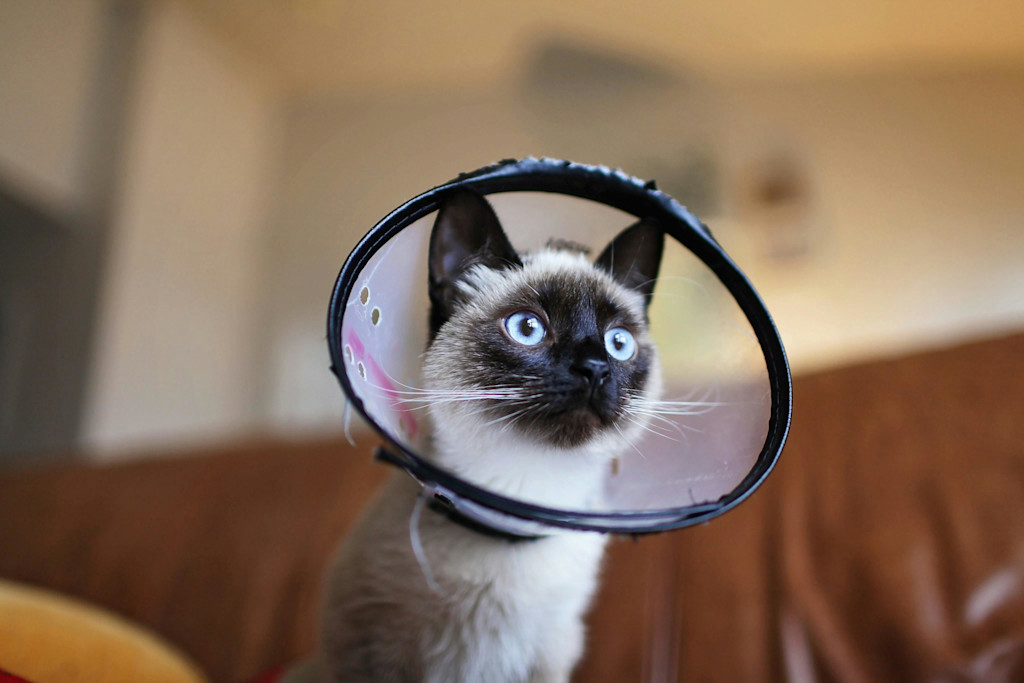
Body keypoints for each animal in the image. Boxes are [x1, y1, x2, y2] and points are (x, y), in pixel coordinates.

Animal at [292, 189, 667, 683]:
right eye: (528, 328)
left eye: (618, 343)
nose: (595, 369)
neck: (517, 499)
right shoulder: (373, 651)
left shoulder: (548, 660)